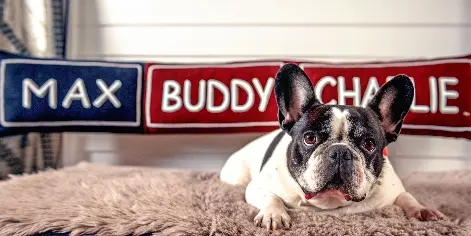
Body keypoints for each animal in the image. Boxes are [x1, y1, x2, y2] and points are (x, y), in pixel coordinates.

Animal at [219, 63, 444, 230]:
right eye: (310, 138)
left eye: (369, 144)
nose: (340, 151)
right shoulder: (257, 187)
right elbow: (271, 197)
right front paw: (273, 214)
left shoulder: (393, 190)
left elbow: (407, 196)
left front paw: (422, 210)